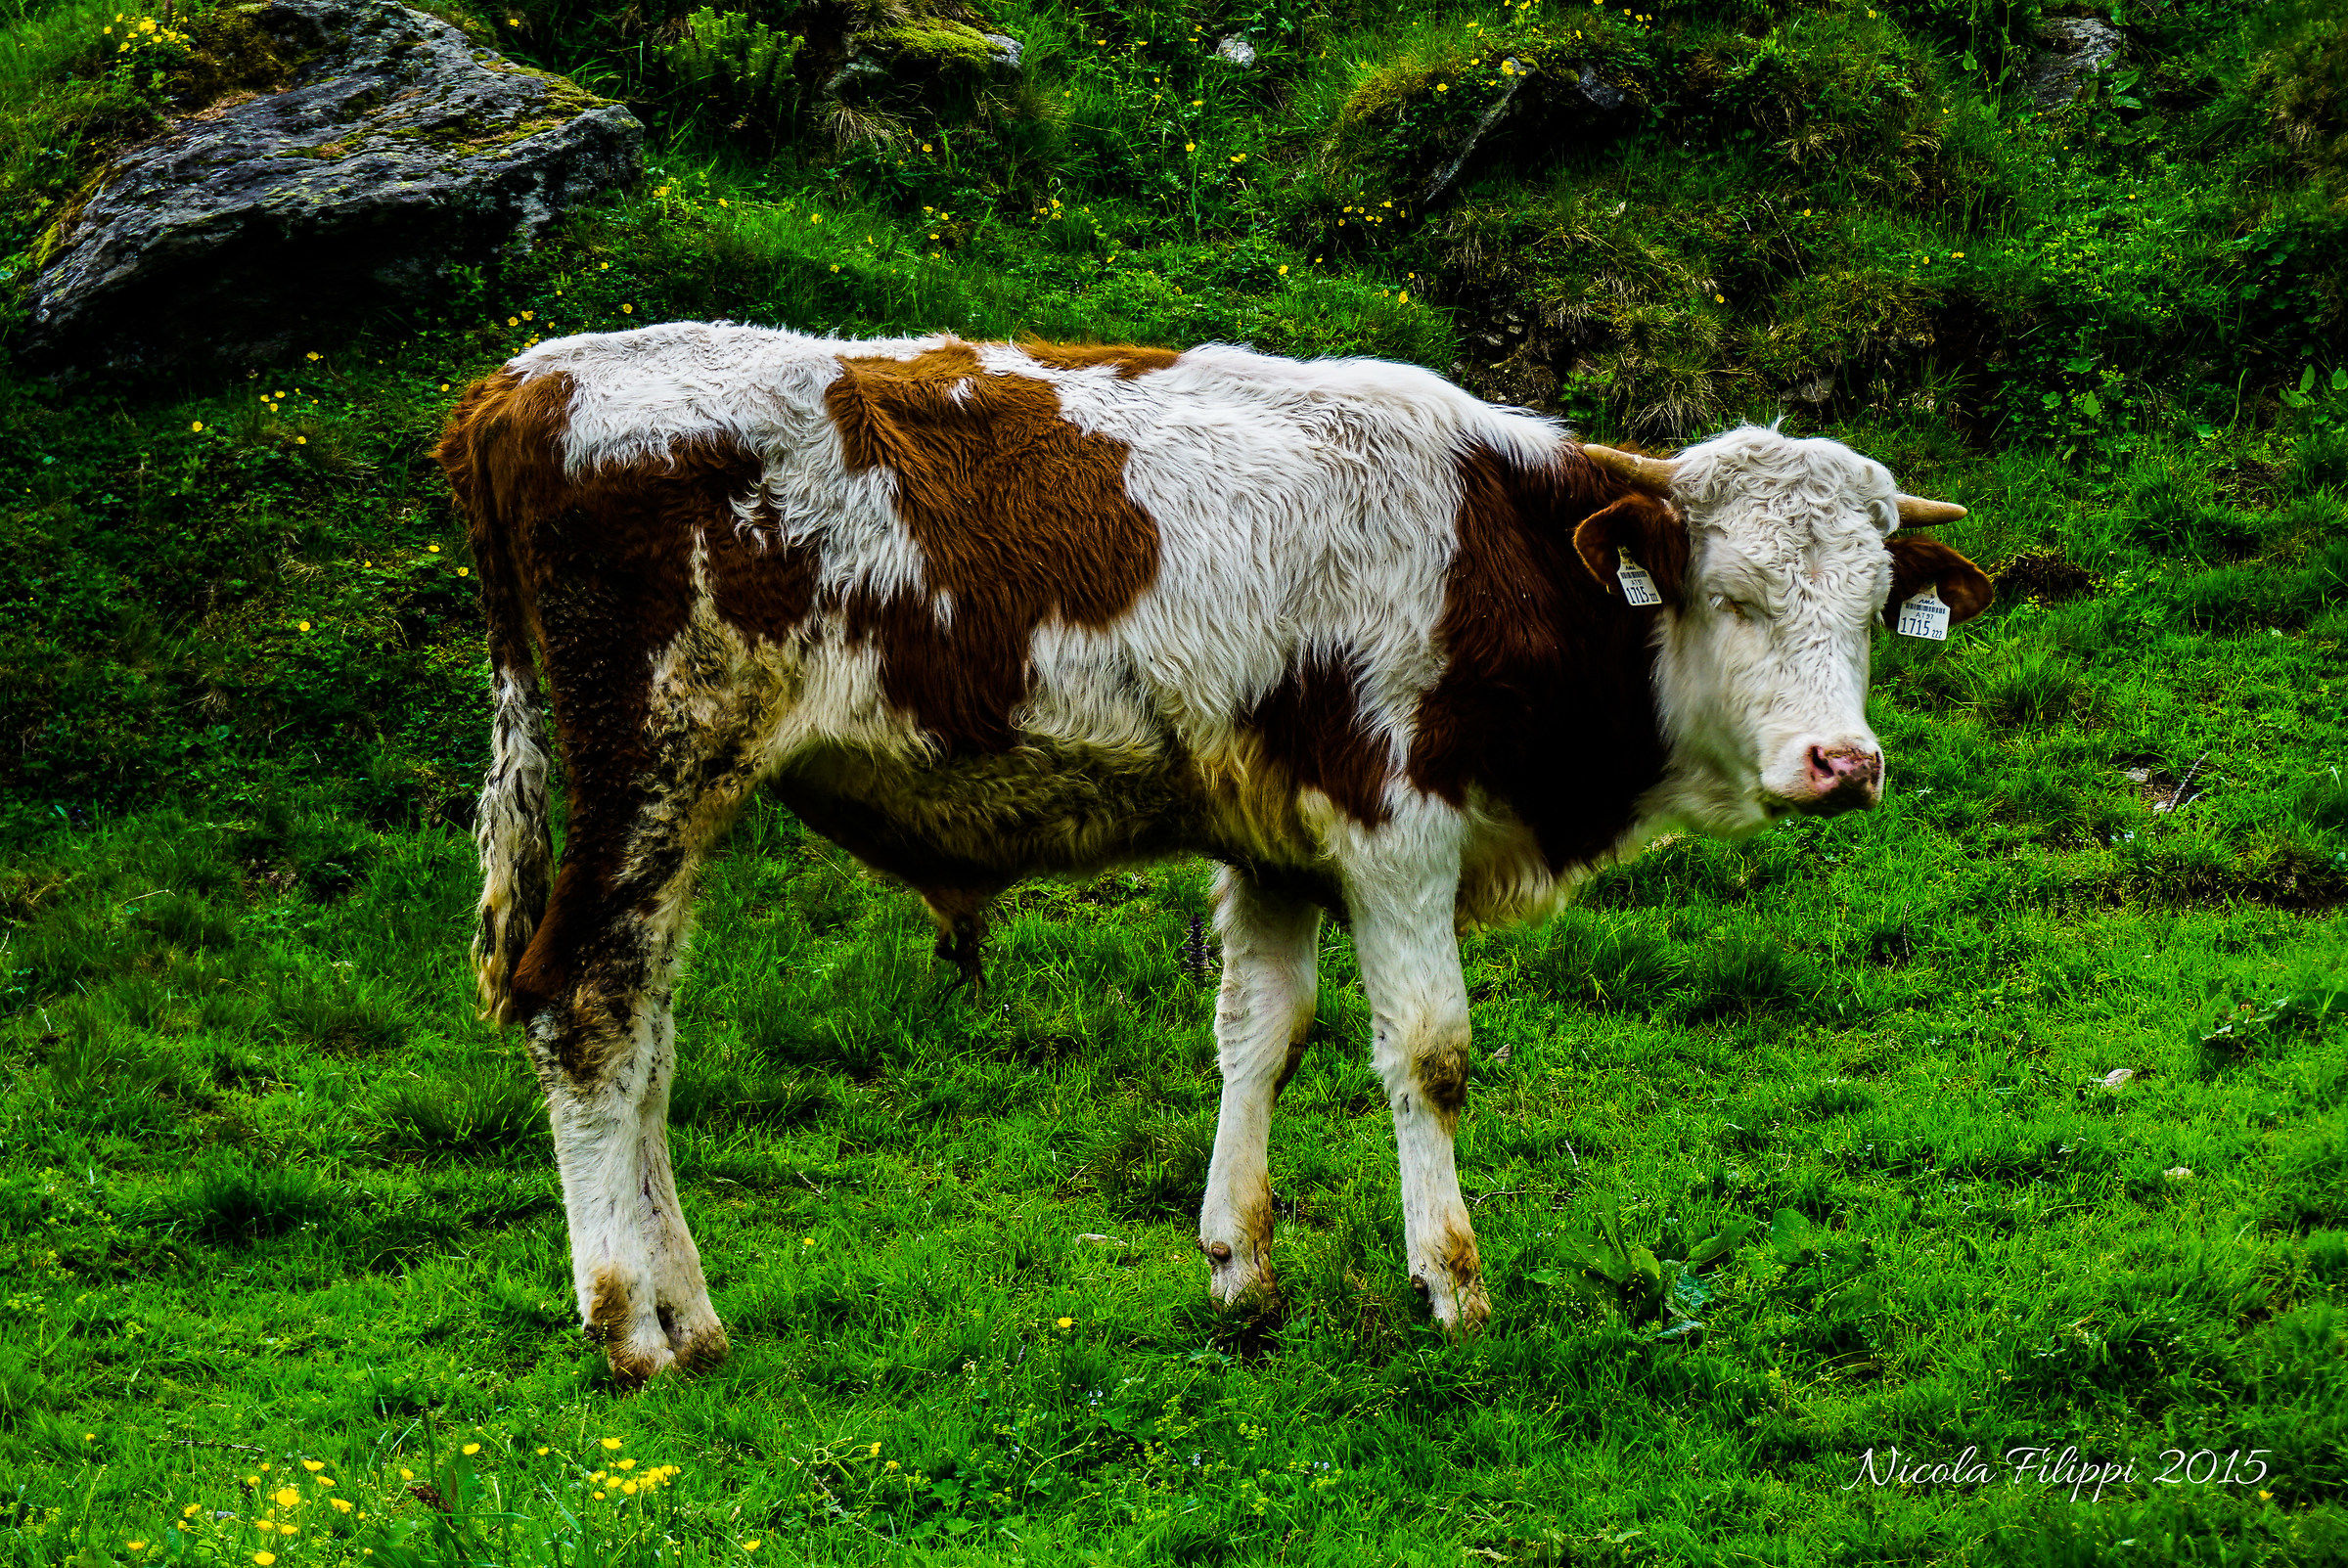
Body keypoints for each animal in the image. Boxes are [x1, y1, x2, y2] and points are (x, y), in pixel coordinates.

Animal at [436, 323, 1991, 1384]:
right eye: (1731, 595)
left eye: (1871, 605)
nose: (1843, 763)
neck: (1490, 547)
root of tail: (530, 378)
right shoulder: (1394, 823)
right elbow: (1427, 1050)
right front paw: (1452, 1282)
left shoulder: (1274, 841)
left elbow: (1264, 1032)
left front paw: (1240, 1263)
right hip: (654, 767)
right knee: (588, 1011)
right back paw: (627, 1322)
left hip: (679, 805)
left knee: (647, 1035)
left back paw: (689, 1310)